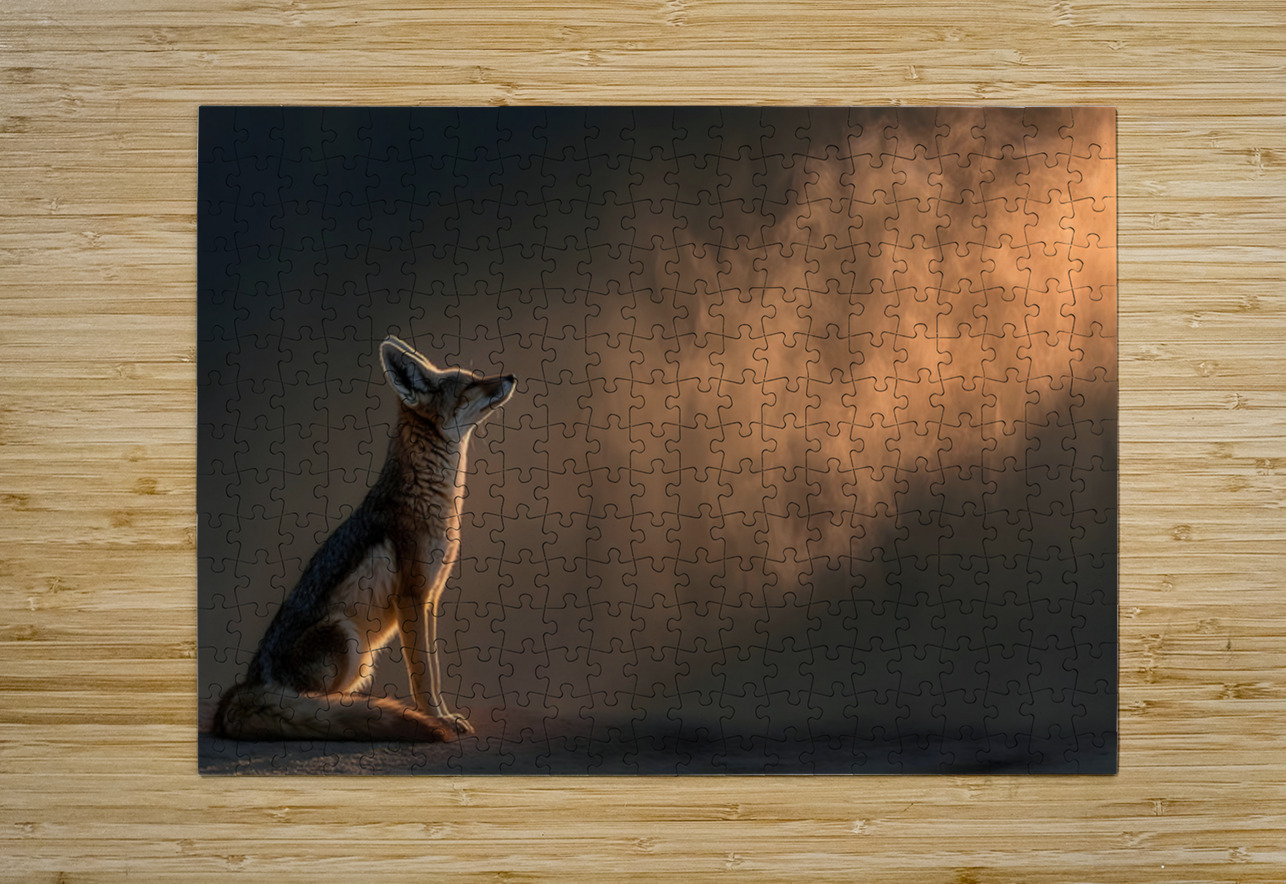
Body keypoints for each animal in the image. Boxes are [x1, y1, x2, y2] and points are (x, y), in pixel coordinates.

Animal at [212, 336, 516, 742]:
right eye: (469, 384)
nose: (511, 376)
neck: (429, 495)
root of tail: (246, 687)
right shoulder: (412, 598)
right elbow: (425, 676)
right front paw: (437, 718)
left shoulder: (431, 598)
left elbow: (433, 671)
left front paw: (441, 714)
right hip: (349, 640)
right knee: (315, 705)